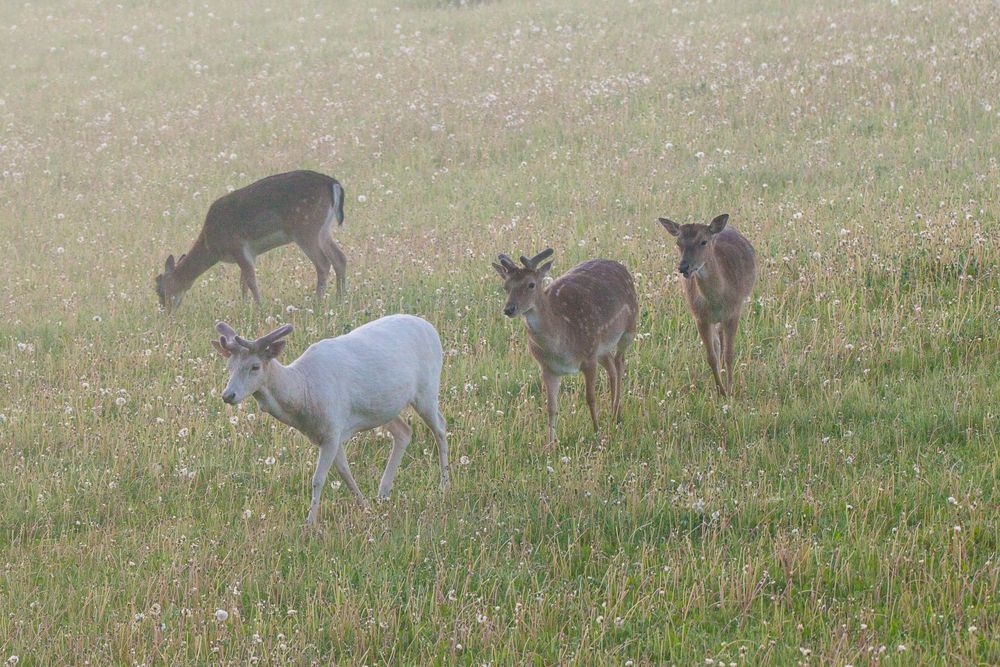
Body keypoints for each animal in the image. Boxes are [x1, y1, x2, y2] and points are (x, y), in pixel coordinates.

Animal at [154, 170, 346, 310]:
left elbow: (251, 280)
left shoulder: (238, 245)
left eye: (160, 290)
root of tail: (333, 184)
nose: (167, 311)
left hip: (306, 229)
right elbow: (243, 282)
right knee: (340, 258)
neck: (211, 246)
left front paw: (260, 307)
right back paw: (341, 297)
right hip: (323, 230)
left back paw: (318, 302)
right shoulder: (250, 253)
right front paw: (245, 306)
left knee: (323, 263)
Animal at [213, 316, 452, 524]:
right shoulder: (329, 434)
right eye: (229, 366)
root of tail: (431, 328)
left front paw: (310, 523)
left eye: (255, 366)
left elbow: (318, 479)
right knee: (404, 431)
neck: (304, 393)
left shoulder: (331, 428)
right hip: (384, 408)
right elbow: (344, 472)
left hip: (427, 388)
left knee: (440, 427)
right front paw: (364, 506)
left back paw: (444, 485)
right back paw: (383, 492)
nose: (228, 395)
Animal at [492, 248, 640, 446]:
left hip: (629, 328)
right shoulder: (548, 368)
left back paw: (616, 412)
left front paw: (597, 432)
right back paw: (613, 411)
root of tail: (620, 266)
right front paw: (550, 444)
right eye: (506, 286)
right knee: (612, 365)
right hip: (601, 346)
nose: (509, 309)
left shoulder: (588, 357)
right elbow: (551, 406)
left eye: (531, 284)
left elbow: (590, 397)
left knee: (620, 362)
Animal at [660, 213, 752, 396]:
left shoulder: (734, 311)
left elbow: (730, 353)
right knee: (718, 342)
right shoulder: (700, 317)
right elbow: (711, 356)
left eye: (703, 241)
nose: (684, 267)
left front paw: (730, 390)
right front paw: (720, 391)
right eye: (678, 242)